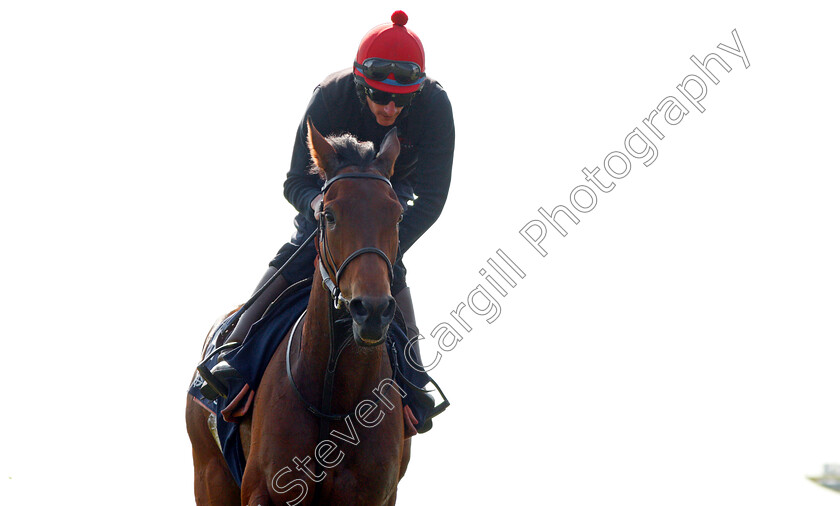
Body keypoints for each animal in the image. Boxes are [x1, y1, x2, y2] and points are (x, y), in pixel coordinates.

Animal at [189, 119, 416, 506]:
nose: (371, 310)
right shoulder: (263, 490)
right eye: (329, 214)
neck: (334, 393)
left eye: (398, 214)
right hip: (210, 474)